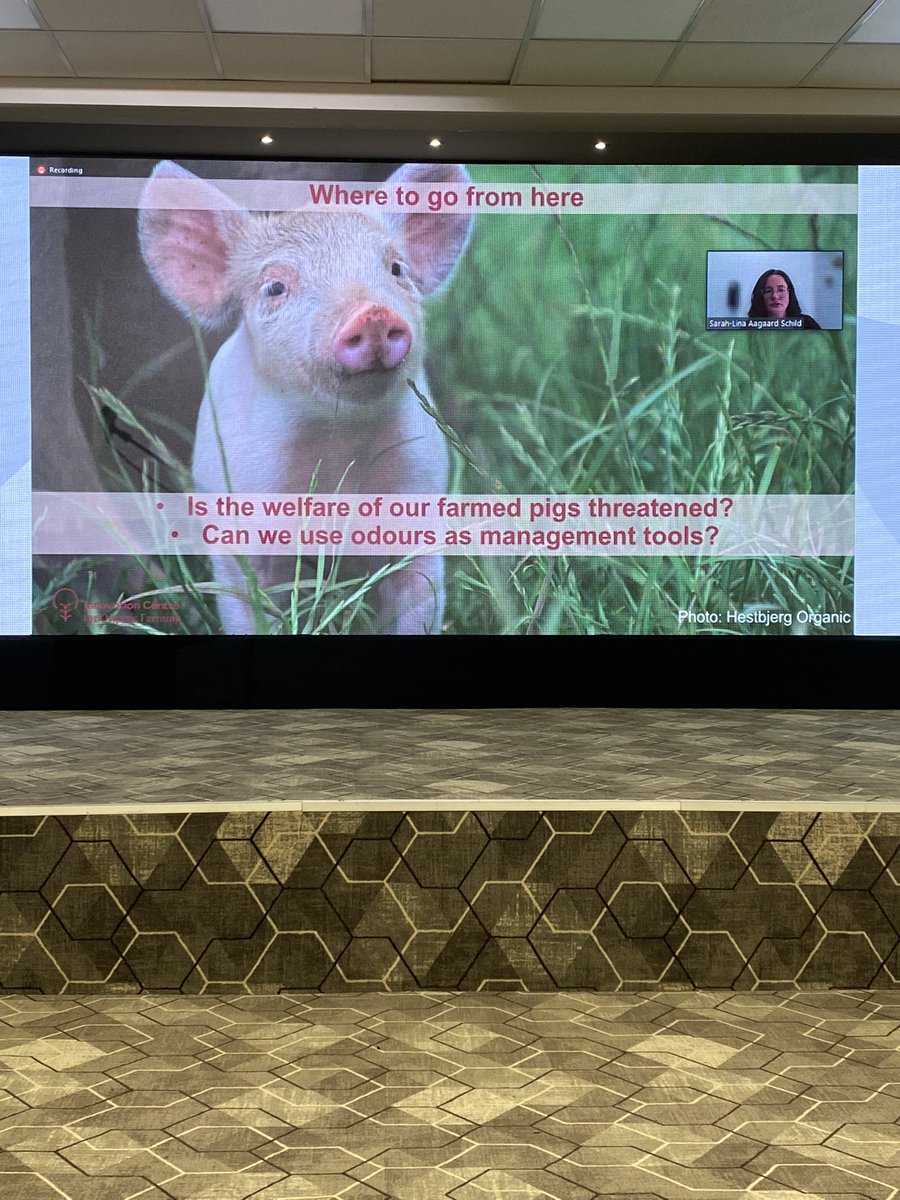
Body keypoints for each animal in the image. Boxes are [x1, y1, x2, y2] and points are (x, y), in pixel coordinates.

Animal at [138, 160, 472, 634]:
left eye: (395, 268)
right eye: (275, 287)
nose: (372, 313)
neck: (336, 443)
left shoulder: (420, 493)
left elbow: (417, 600)